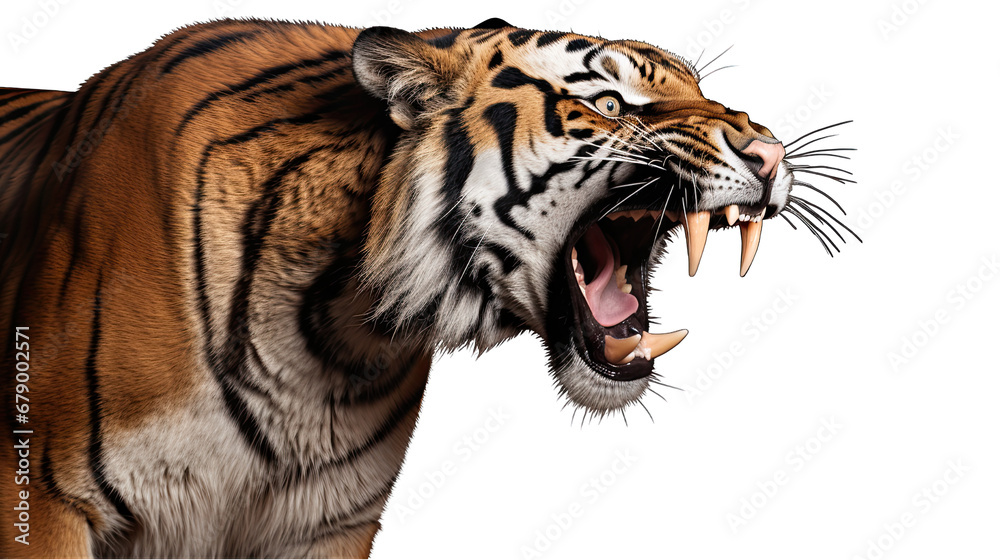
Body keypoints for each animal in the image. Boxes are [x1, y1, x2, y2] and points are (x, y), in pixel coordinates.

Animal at [0, 17, 854, 559]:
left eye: (704, 90)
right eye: (608, 104)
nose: (772, 154)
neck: (332, 325)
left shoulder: (326, 524)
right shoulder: (42, 496)